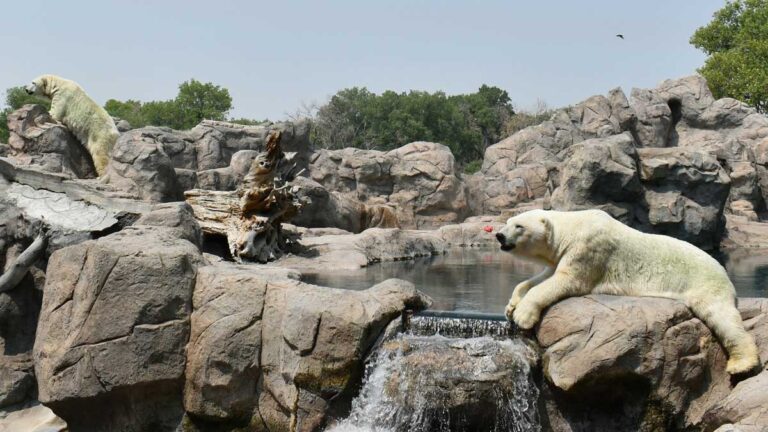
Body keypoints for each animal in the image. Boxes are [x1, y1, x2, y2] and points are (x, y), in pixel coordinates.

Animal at [495, 208, 760, 375]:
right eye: (508, 222)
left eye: (518, 226)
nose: (498, 235)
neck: (573, 227)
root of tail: (724, 271)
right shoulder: (563, 255)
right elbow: (542, 277)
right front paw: (511, 304)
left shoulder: (588, 248)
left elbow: (566, 281)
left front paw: (523, 315)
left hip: (705, 283)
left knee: (722, 317)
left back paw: (742, 364)